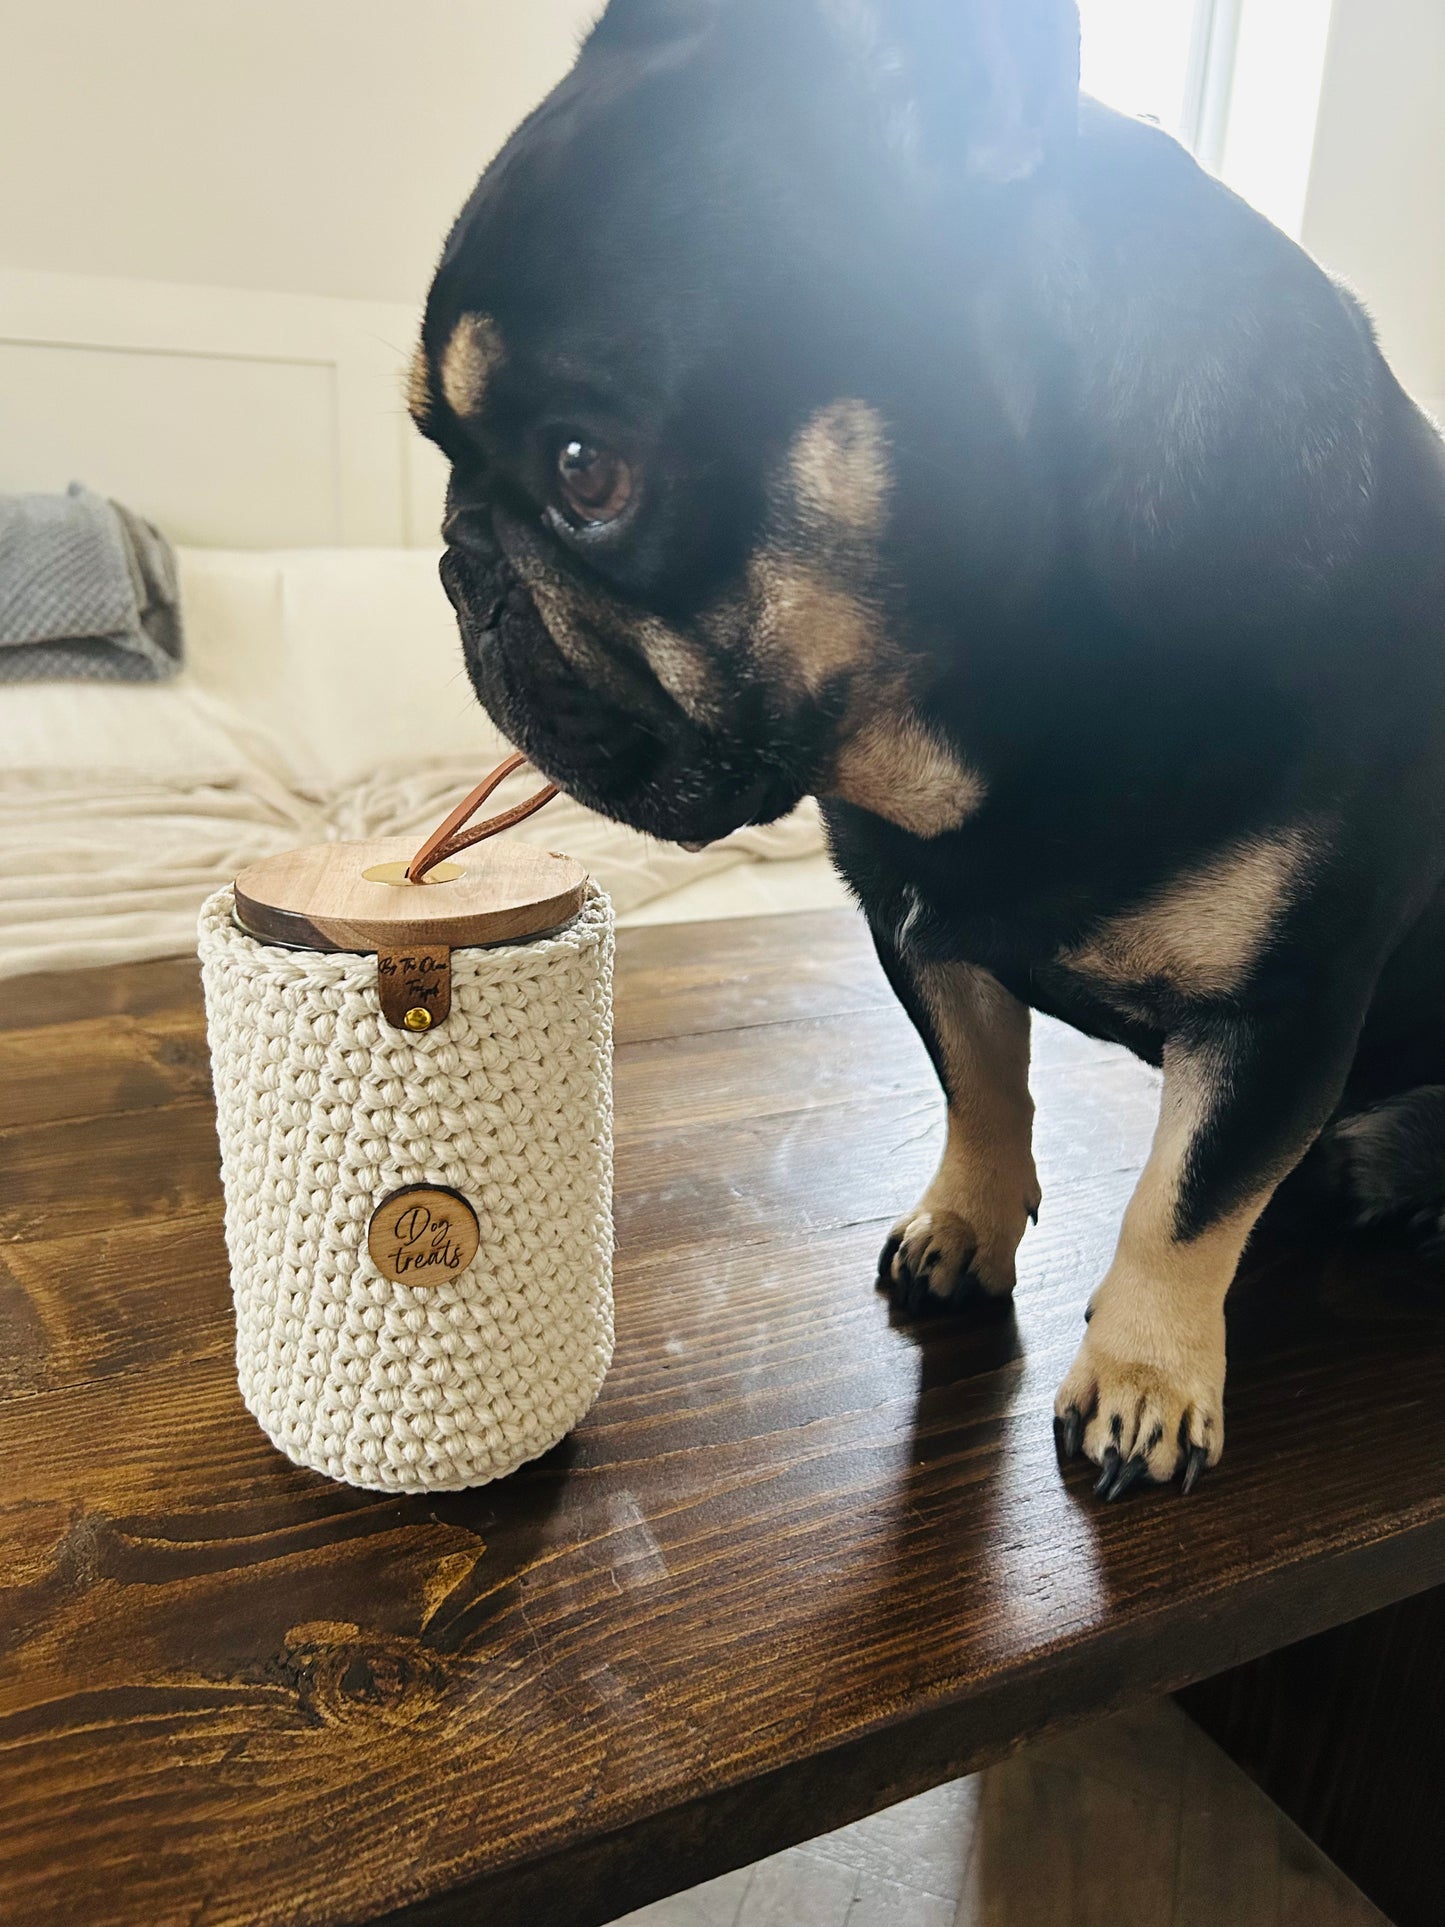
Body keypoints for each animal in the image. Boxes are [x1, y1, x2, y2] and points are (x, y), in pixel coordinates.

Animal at [412, 0, 1445, 1495]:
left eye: (583, 471)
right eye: (436, 441)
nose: (457, 559)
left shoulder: (1284, 1004)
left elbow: (1182, 1202)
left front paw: (1145, 1372)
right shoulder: (919, 922)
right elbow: (979, 1087)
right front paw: (968, 1221)